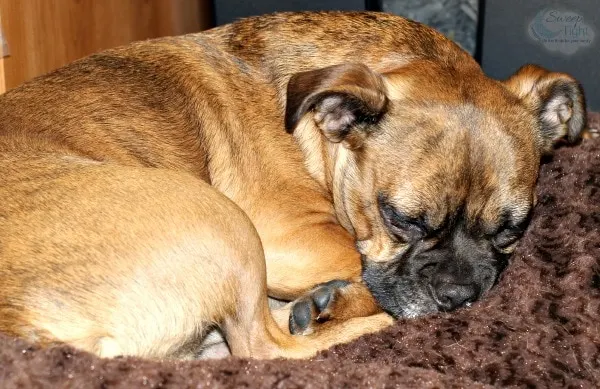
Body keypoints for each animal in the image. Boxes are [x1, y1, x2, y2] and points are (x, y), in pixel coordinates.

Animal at [0, 11, 584, 358]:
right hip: (228, 227)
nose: (458, 295)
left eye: (512, 229)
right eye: (400, 219)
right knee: (268, 349)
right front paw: (341, 300)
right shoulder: (288, 239)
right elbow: (360, 264)